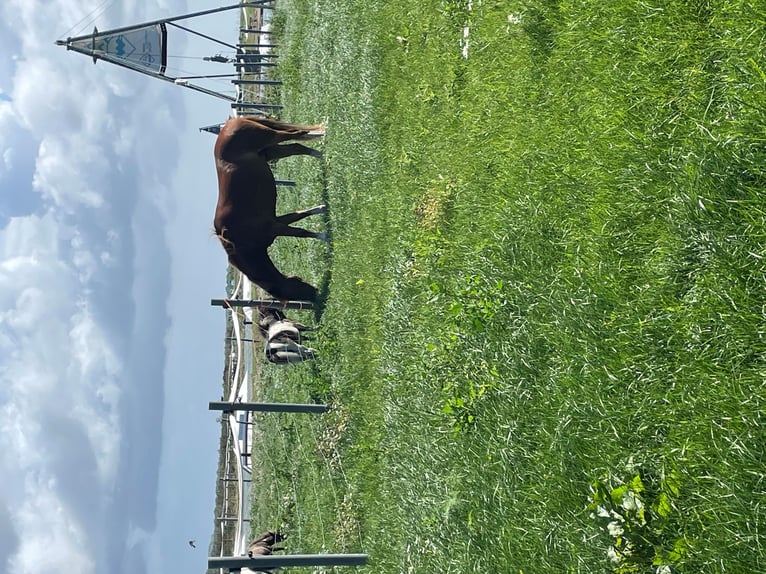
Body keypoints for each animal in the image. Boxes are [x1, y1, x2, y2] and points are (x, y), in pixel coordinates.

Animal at [213, 118, 328, 306]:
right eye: (294, 295)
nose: (318, 300)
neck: (241, 242)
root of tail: (230, 123)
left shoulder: (274, 227)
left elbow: (301, 232)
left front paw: (325, 237)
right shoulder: (276, 221)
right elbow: (300, 215)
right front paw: (323, 210)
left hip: (270, 137)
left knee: (295, 134)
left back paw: (320, 135)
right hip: (272, 151)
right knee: (296, 146)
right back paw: (321, 152)